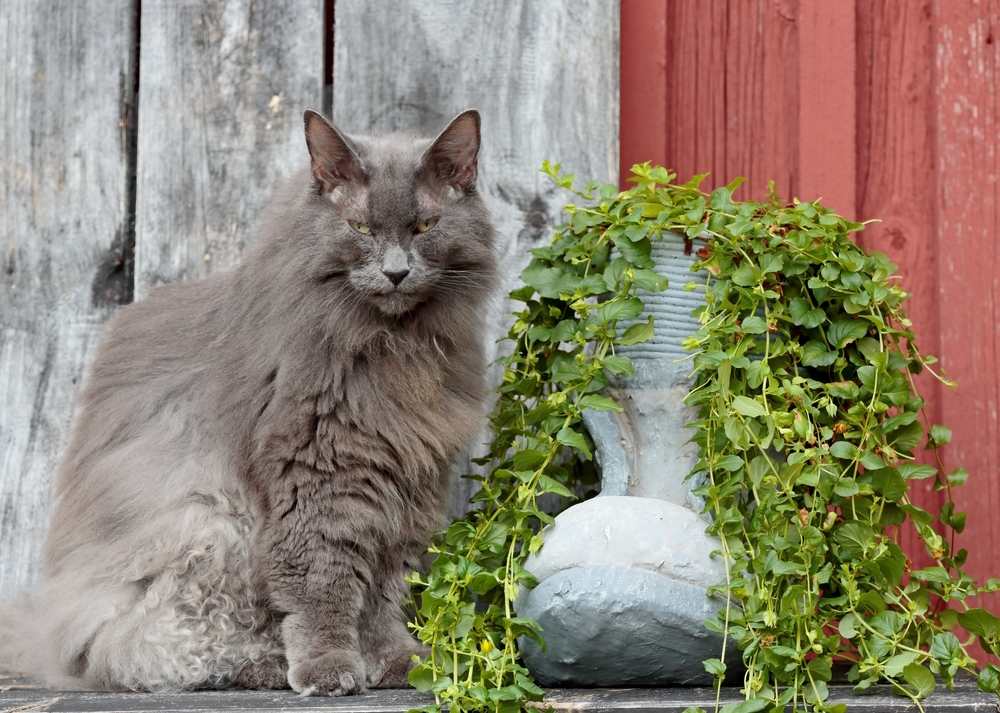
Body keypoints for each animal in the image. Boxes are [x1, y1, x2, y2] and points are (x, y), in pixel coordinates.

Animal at [0, 108, 500, 692]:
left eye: (424, 227)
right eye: (361, 229)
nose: (396, 272)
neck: (394, 345)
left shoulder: (405, 482)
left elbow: (383, 590)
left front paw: (395, 661)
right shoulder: (320, 472)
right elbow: (324, 583)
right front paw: (330, 667)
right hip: (203, 526)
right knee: (151, 648)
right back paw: (264, 667)